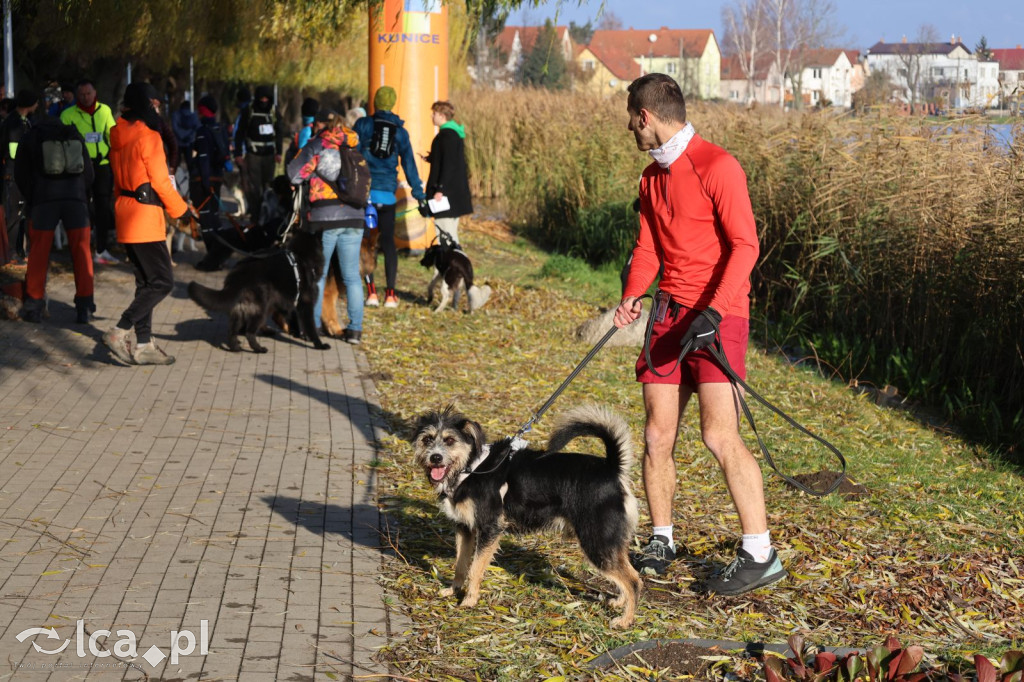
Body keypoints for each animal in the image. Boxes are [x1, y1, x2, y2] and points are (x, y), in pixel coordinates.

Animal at [185, 228, 327, 352]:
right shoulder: (305, 305)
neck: (301, 257)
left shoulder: (288, 304)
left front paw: (297, 334)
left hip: (241, 310)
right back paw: (258, 349)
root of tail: (238, 275)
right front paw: (318, 344)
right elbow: (311, 327)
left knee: (232, 331)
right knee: (249, 332)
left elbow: (293, 319)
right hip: (260, 309)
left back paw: (235, 348)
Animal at [409, 403, 638, 626]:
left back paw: (625, 620)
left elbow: (475, 568)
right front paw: (453, 590)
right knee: (627, 572)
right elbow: (460, 564)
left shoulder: (490, 529)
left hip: (596, 541)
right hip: (609, 541)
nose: (435, 457)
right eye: (427, 439)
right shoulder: (464, 528)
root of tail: (612, 469)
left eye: (450, 440)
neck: (470, 468)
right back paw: (619, 602)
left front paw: (469, 600)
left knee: (634, 580)